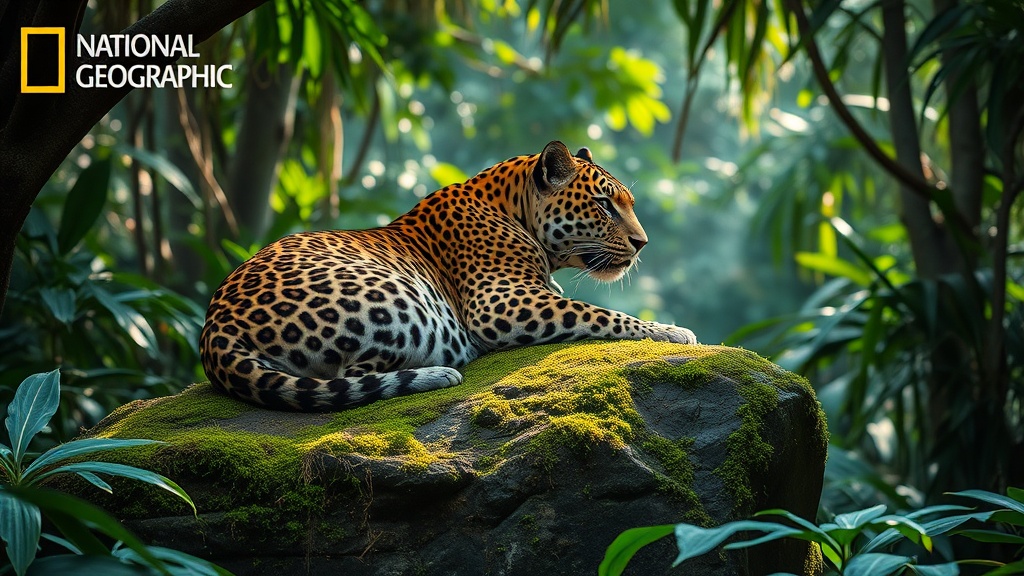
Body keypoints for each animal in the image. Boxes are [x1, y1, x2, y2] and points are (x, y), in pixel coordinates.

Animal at [200, 141, 697, 412]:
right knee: (355, 379)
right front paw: (672, 332)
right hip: (399, 300)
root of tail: (214, 332)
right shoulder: (500, 302)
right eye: (603, 204)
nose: (642, 243)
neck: (512, 208)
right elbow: (598, 313)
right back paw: (440, 374)